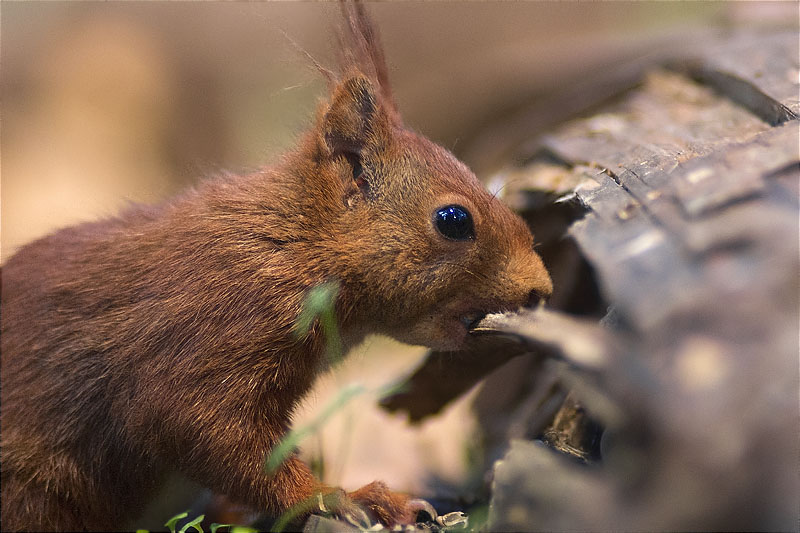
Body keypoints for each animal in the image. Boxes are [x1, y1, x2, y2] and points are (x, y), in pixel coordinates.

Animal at [0, 3, 552, 528]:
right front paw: (346, 497)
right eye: (454, 220)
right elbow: (204, 428)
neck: (296, 247)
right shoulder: (215, 327)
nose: (541, 290)